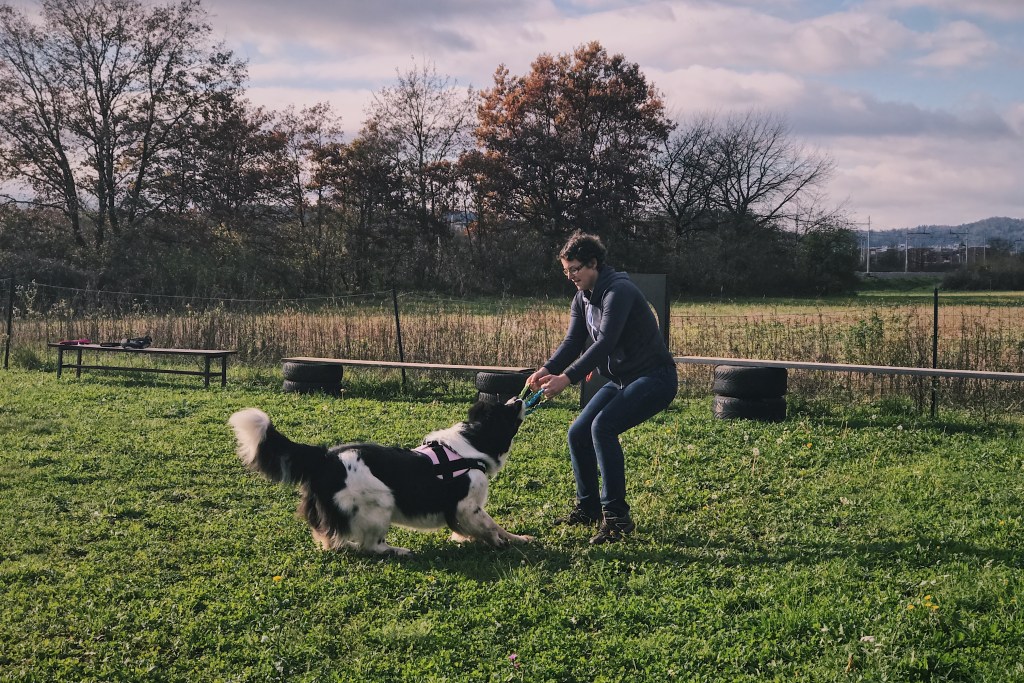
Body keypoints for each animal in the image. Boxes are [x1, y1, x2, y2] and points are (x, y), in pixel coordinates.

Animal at [228, 397, 533, 556]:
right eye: (506, 409)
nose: (520, 398)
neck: (473, 441)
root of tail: (325, 456)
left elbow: (495, 525)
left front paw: (518, 538)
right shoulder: (466, 506)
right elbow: (489, 524)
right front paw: (497, 542)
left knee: (330, 539)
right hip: (381, 502)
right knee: (371, 546)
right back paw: (398, 550)